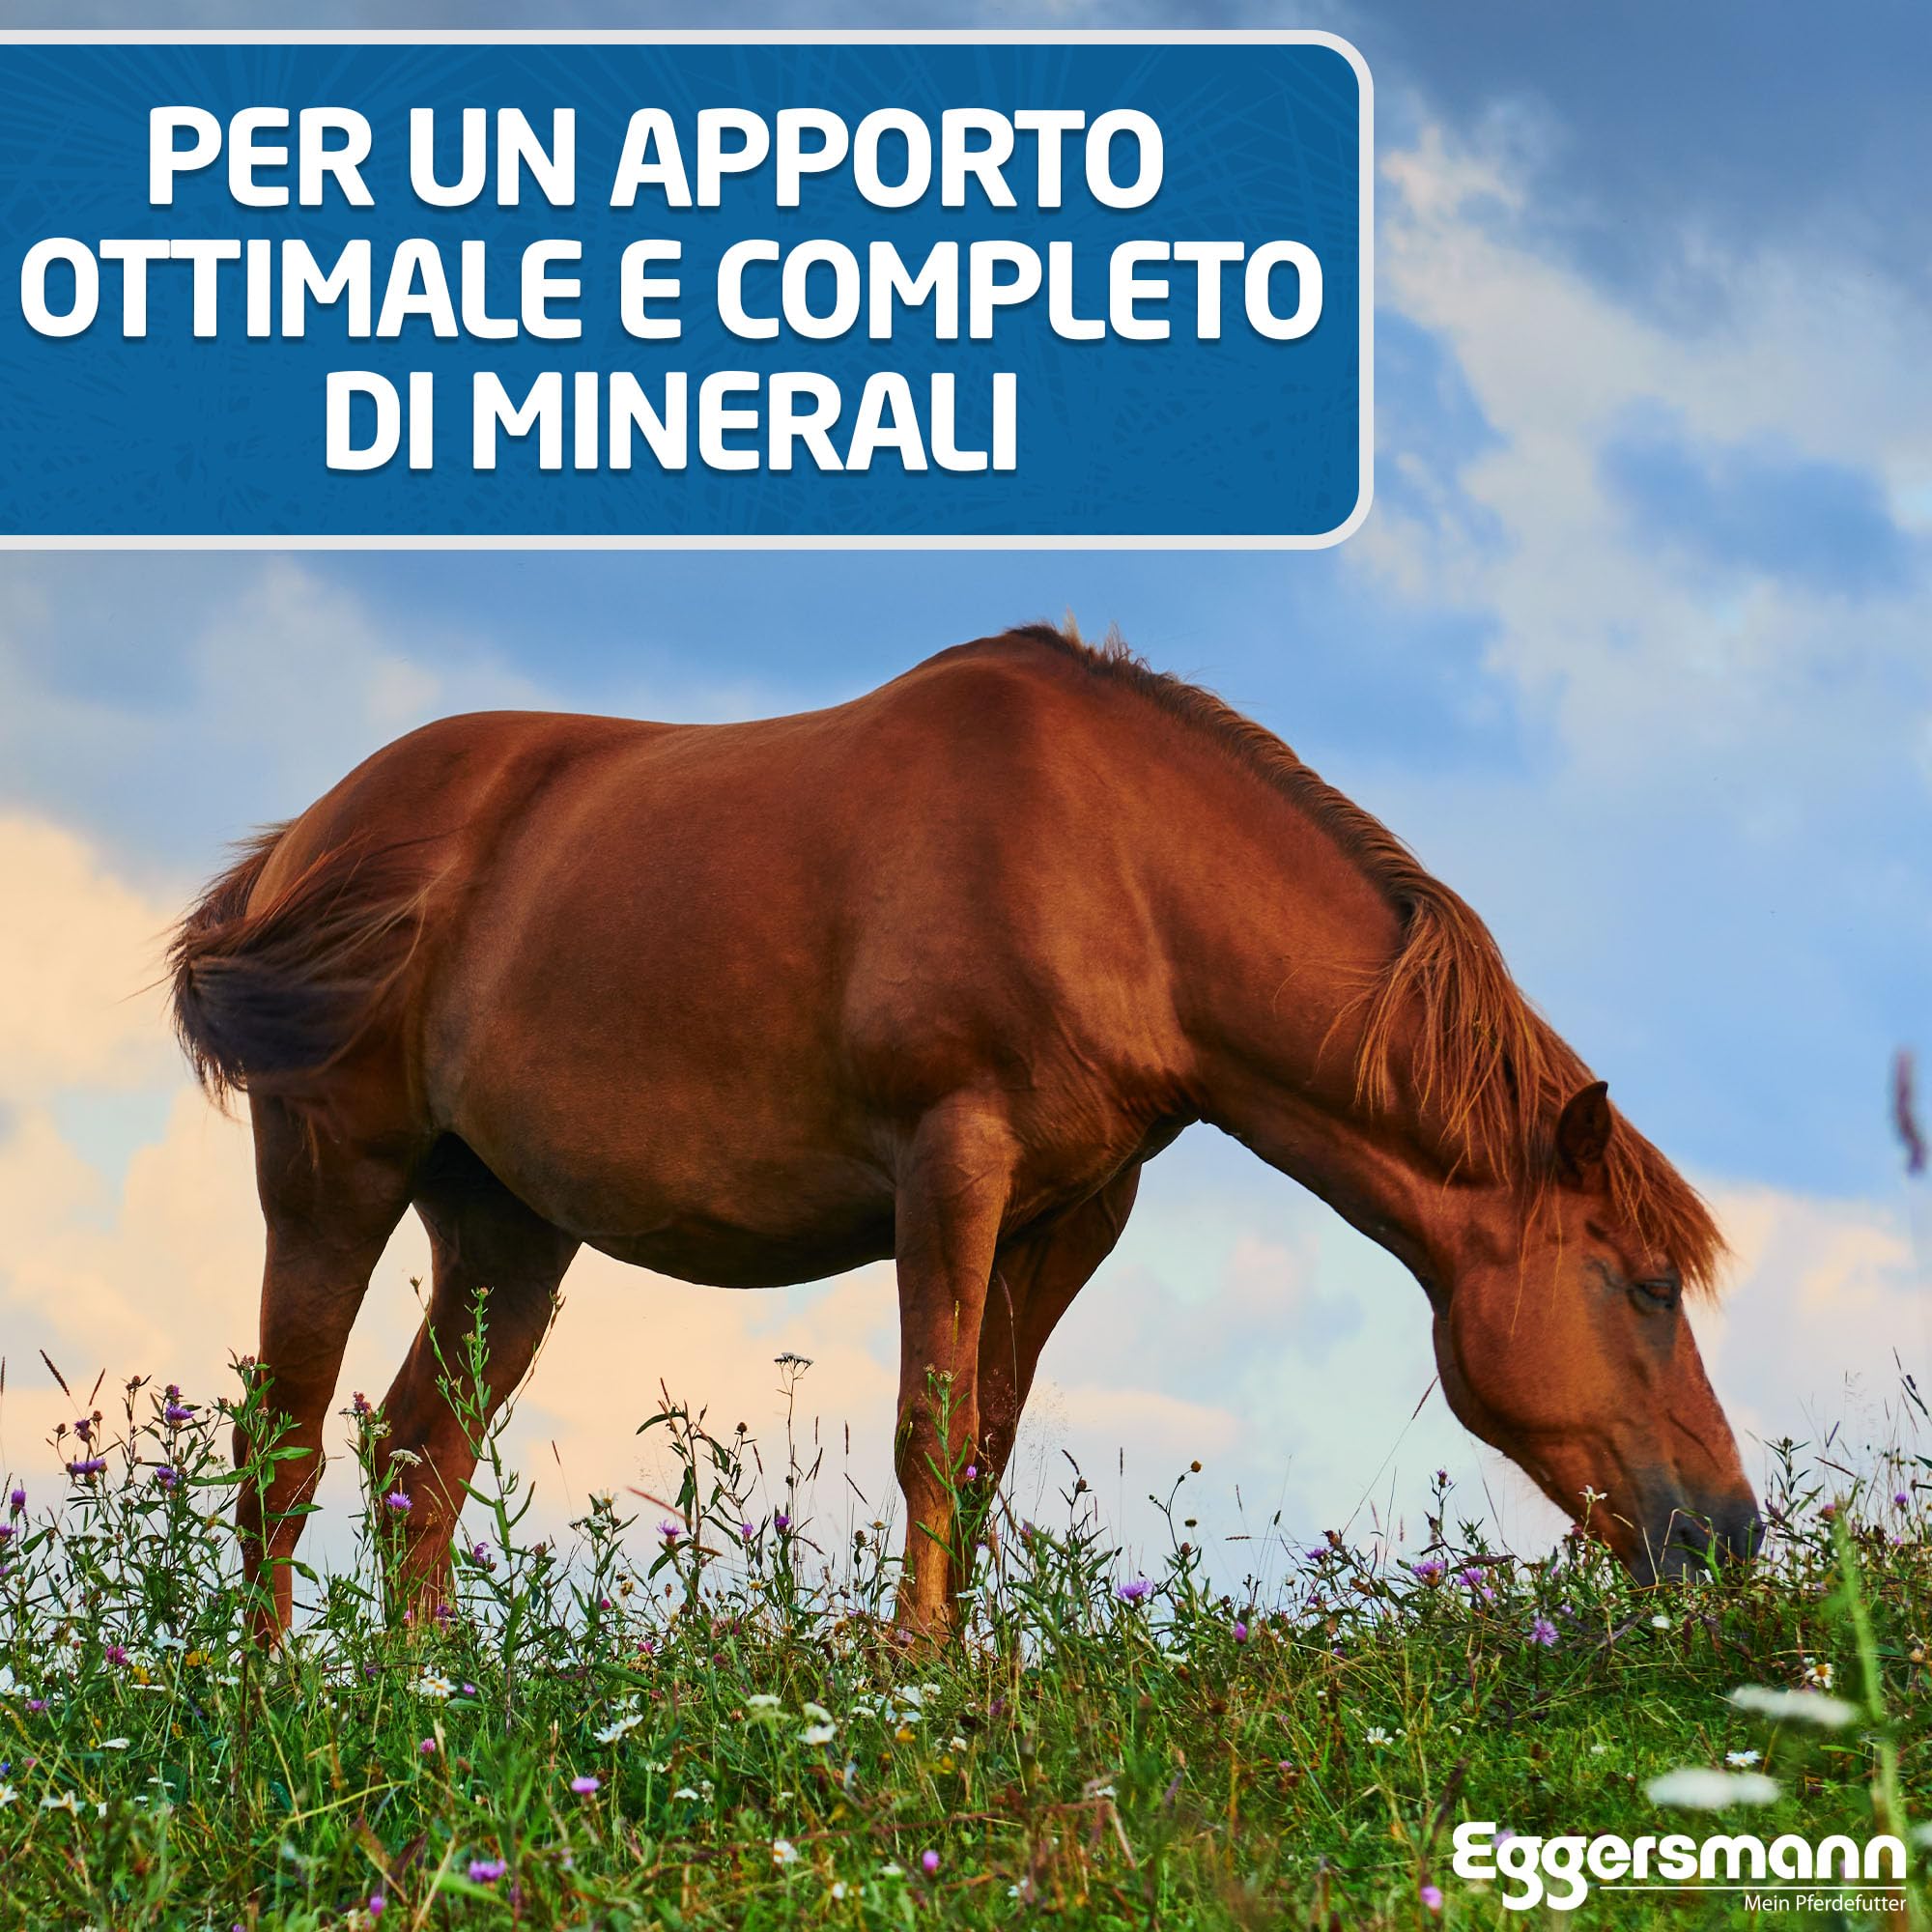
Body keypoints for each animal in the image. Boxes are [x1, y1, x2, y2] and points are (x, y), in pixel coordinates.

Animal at [167, 625, 1759, 1637]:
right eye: (1645, 1284)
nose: (1731, 1531)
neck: (1118, 870)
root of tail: (305, 844)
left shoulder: (1072, 1209)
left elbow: (987, 1443)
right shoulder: (952, 1163)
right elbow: (929, 1429)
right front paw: (911, 1673)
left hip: (507, 1231)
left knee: (414, 1468)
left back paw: (429, 1713)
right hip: (333, 1175)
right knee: (282, 1450)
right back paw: (272, 1712)